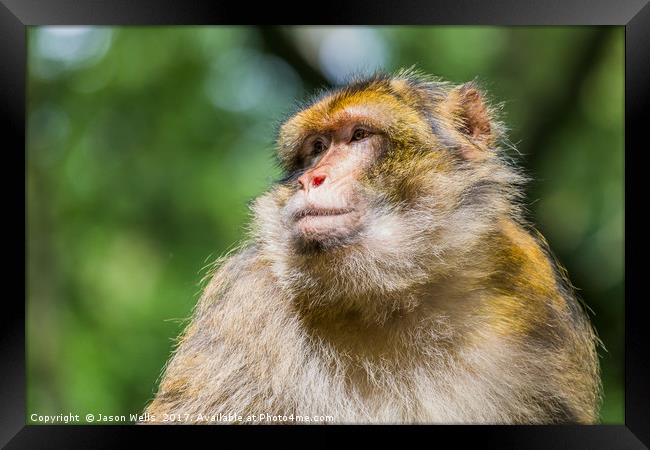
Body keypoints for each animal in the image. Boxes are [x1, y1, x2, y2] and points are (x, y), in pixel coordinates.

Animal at [140, 68, 596, 424]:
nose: (311, 179)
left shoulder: (531, 291)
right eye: (317, 148)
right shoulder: (244, 301)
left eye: (358, 135)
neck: (392, 295)